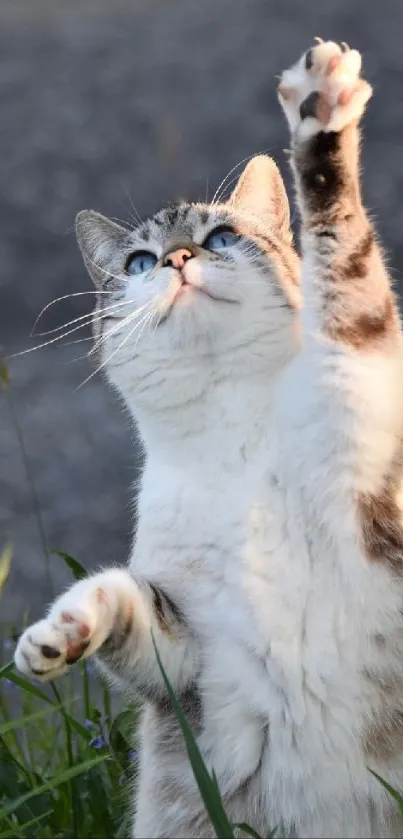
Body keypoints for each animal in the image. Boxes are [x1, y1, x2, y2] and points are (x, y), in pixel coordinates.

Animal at [14, 41, 403, 839]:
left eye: (220, 238)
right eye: (137, 262)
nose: (177, 259)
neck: (232, 436)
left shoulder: (362, 390)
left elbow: (342, 253)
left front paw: (320, 117)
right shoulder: (189, 652)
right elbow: (124, 597)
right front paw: (57, 632)